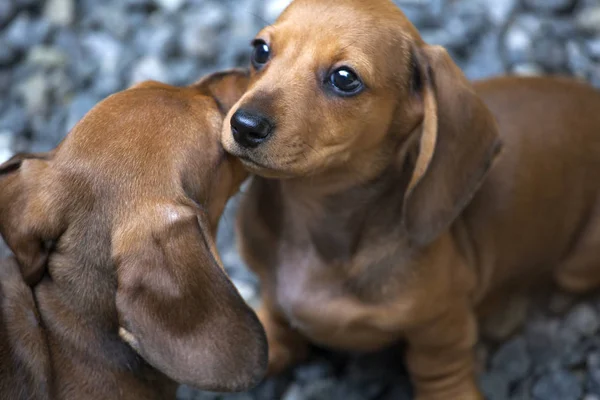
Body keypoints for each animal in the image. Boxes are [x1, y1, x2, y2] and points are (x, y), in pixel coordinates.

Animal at [219, 0, 600, 400]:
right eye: (260, 51)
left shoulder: (440, 323)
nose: (244, 125)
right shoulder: (275, 300)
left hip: (577, 267)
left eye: (344, 78)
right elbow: (275, 330)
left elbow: (437, 367)